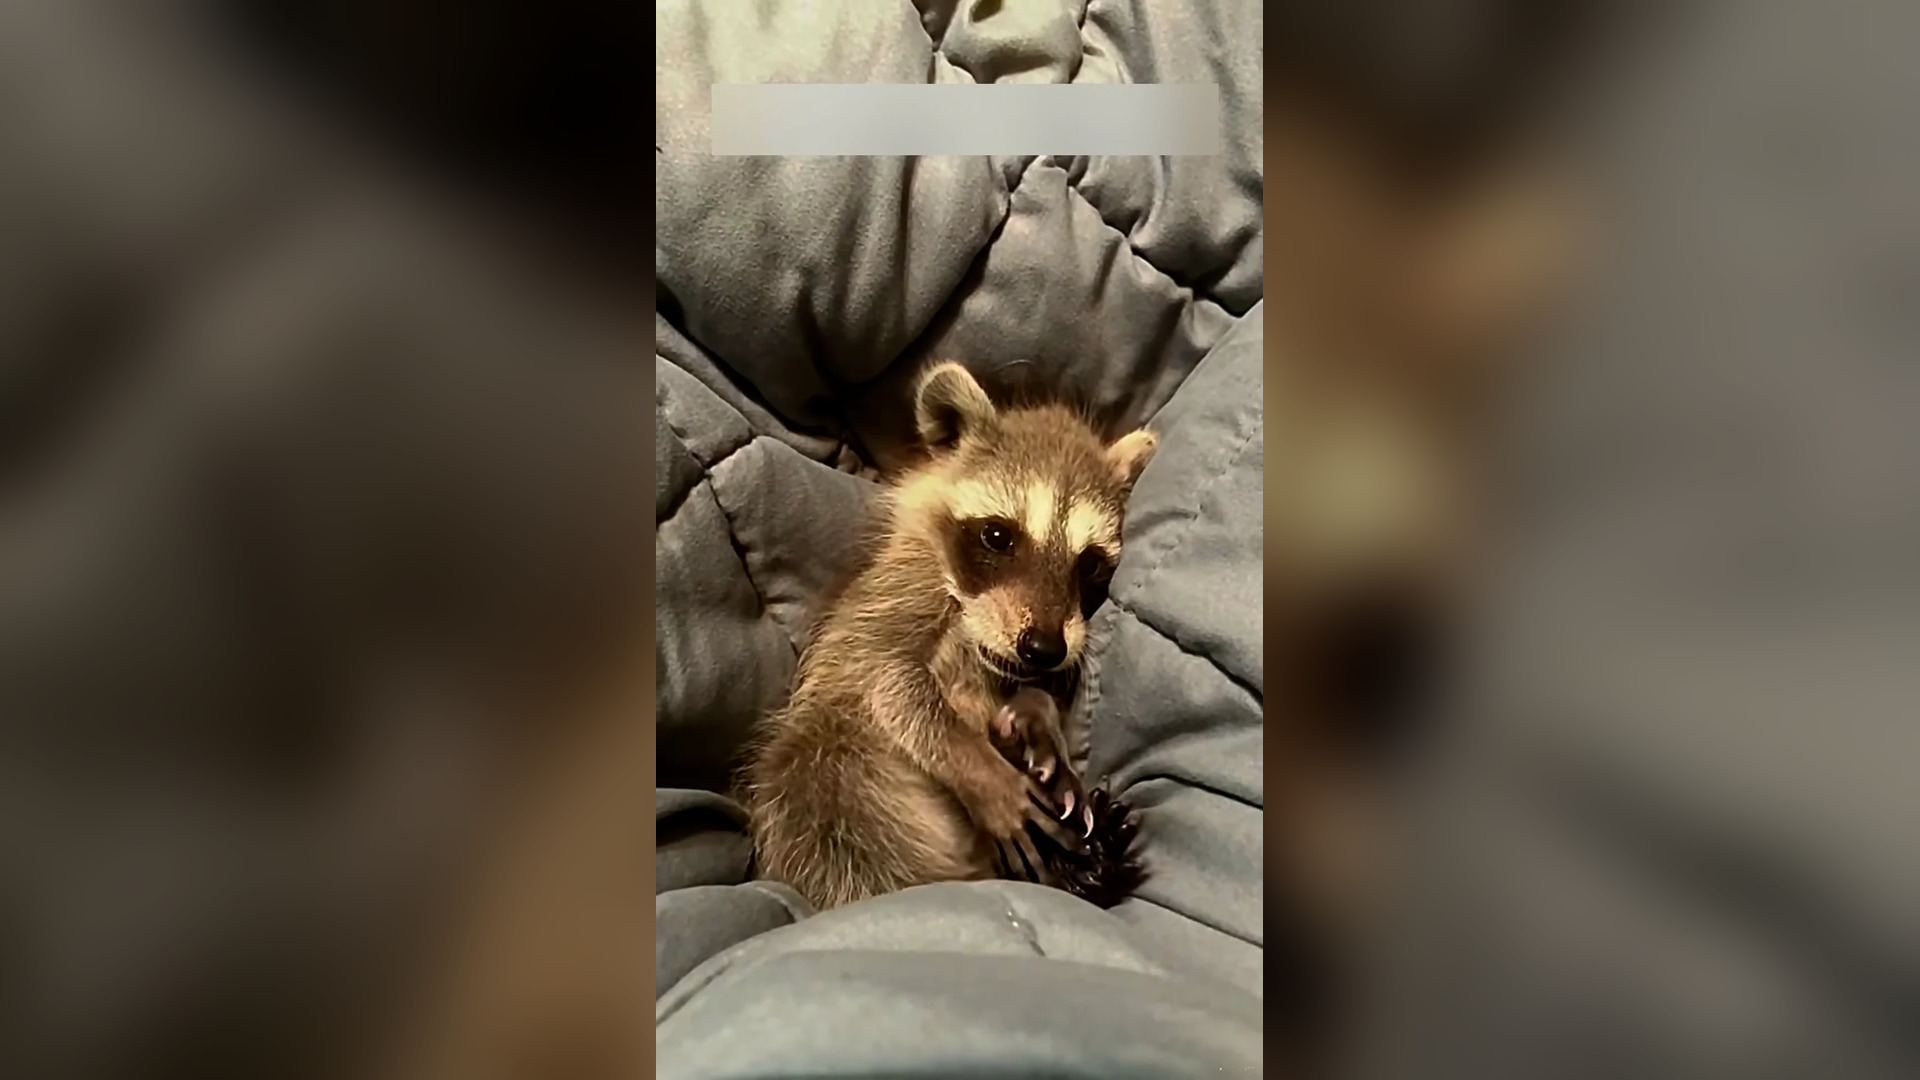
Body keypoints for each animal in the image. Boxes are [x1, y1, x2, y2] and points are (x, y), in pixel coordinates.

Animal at [740, 362, 1156, 911]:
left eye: (1088, 564)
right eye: (998, 537)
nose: (1043, 649)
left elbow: (1026, 696)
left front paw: (1037, 720)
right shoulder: (894, 596)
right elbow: (888, 680)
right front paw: (978, 768)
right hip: (828, 788)